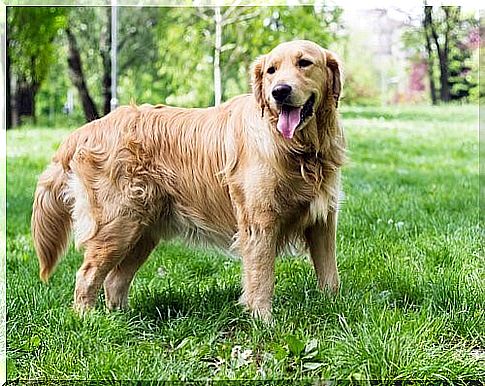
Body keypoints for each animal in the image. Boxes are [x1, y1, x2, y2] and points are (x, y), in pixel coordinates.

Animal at [31, 40, 344, 322]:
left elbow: (330, 274)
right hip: (118, 224)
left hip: (142, 231)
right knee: (87, 275)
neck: (299, 149)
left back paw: (124, 321)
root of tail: (88, 128)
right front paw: (263, 322)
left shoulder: (323, 221)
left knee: (114, 280)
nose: (280, 91)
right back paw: (87, 322)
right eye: (271, 70)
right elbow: (261, 278)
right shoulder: (260, 222)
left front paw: (333, 308)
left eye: (304, 63)